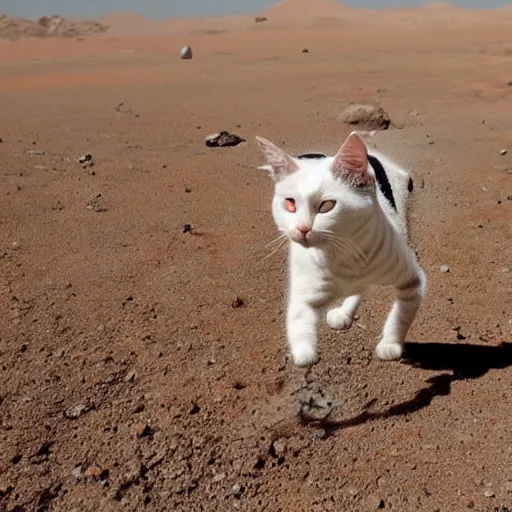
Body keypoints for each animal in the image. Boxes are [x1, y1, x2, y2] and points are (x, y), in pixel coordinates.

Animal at [256, 130, 428, 366]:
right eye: (290, 204)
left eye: (327, 206)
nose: (302, 228)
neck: (345, 256)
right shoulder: (303, 293)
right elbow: (300, 330)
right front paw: (306, 357)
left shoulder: (412, 281)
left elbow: (401, 315)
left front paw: (390, 345)